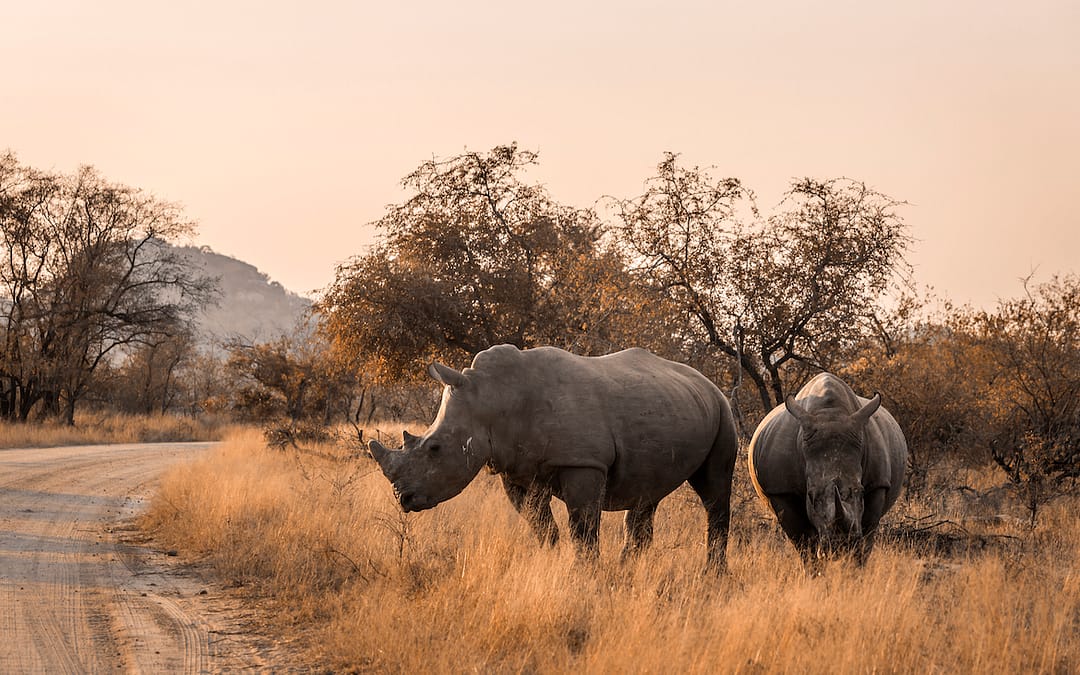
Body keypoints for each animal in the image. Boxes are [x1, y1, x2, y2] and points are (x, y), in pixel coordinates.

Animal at [369, 344, 739, 571]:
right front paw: (549, 560)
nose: (403, 498)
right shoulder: (515, 470)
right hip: (671, 405)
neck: (492, 397)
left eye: (435, 449)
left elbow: (583, 527)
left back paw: (712, 574)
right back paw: (629, 568)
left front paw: (585, 574)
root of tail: (708, 381)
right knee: (646, 494)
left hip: (722, 412)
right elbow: (540, 524)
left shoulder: (583, 463)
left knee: (714, 488)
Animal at [747, 372, 907, 568]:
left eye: (861, 492)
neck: (830, 413)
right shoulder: (780, 489)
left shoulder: (878, 483)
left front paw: (854, 569)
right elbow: (803, 541)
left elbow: (867, 535)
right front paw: (815, 571)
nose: (840, 547)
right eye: (811, 496)